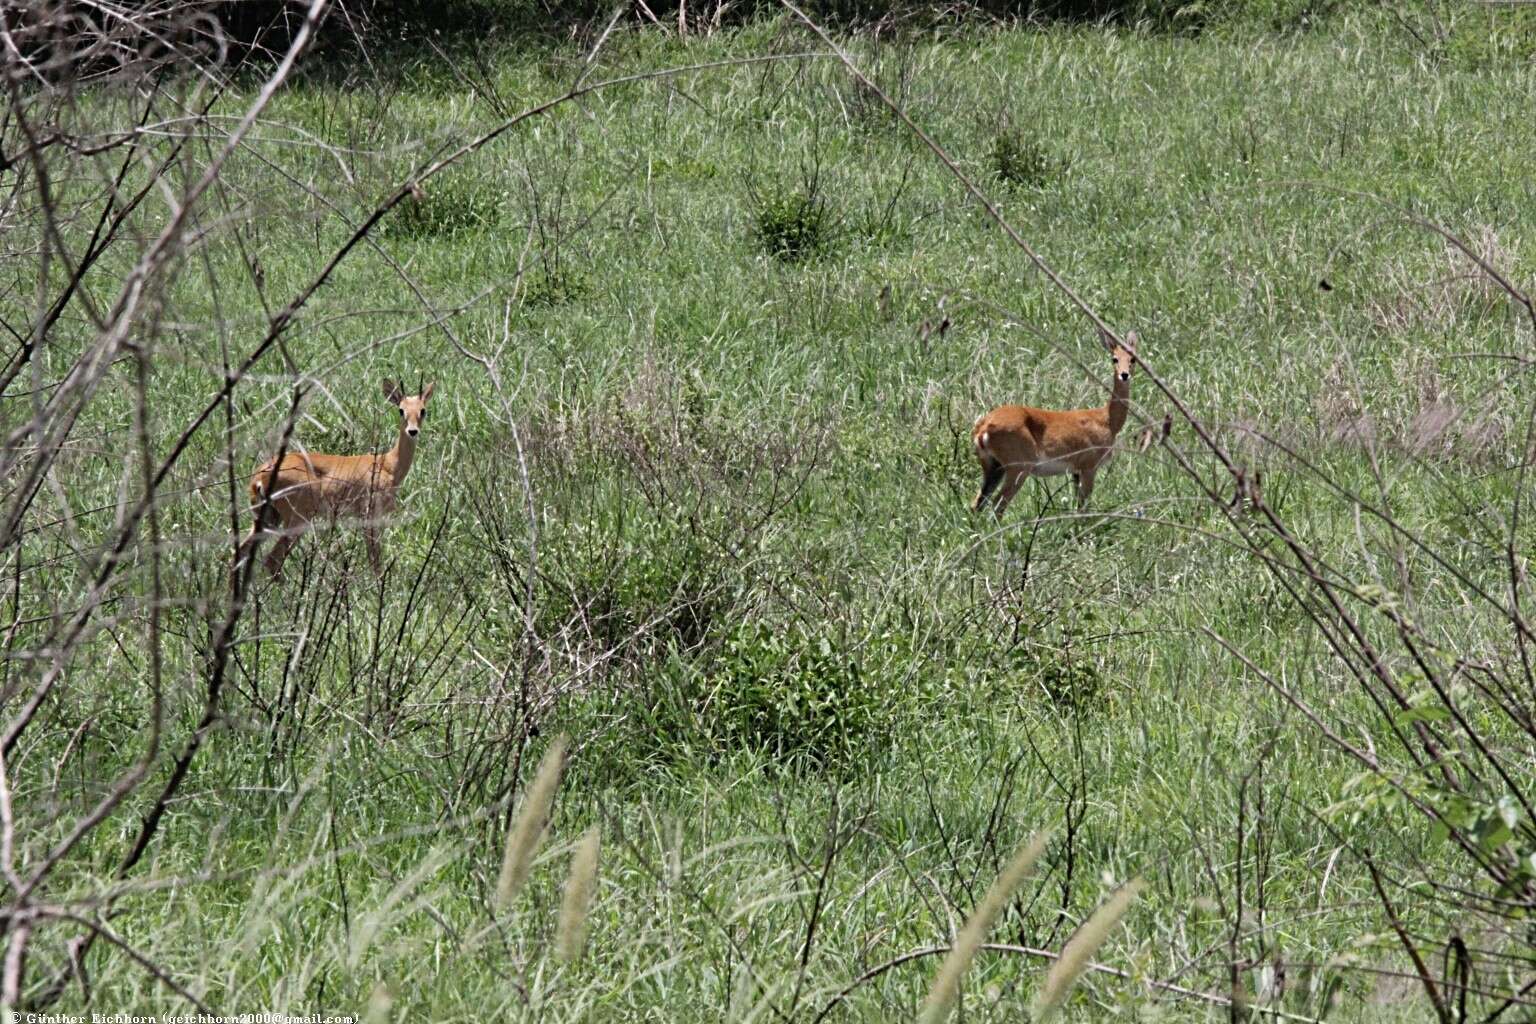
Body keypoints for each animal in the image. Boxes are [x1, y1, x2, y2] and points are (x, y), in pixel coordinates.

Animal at [236, 380, 439, 580]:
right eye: (401, 410)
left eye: (423, 410)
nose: (413, 431)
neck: (388, 464)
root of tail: (258, 477)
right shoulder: (369, 515)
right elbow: (375, 560)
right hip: (297, 519)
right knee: (272, 560)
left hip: (268, 518)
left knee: (240, 552)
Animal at [976, 333, 1136, 515]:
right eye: (1114, 358)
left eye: (1133, 359)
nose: (1124, 374)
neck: (1107, 420)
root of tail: (983, 428)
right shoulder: (1089, 465)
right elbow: (1084, 509)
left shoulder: (1075, 471)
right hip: (1019, 466)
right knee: (998, 504)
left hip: (993, 466)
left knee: (978, 503)